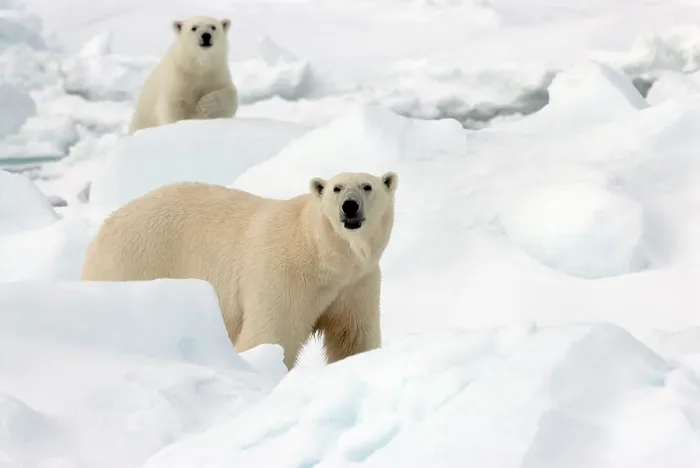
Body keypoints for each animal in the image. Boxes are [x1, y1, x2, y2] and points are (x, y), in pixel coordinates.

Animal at [81, 171, 399, 369]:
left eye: (368, 186)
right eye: (336, 188)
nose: (350, 206)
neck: (323, 255)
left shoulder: (357, 283)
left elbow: (352, 337)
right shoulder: (284, 276)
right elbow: (269, 335)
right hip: (135, 262)